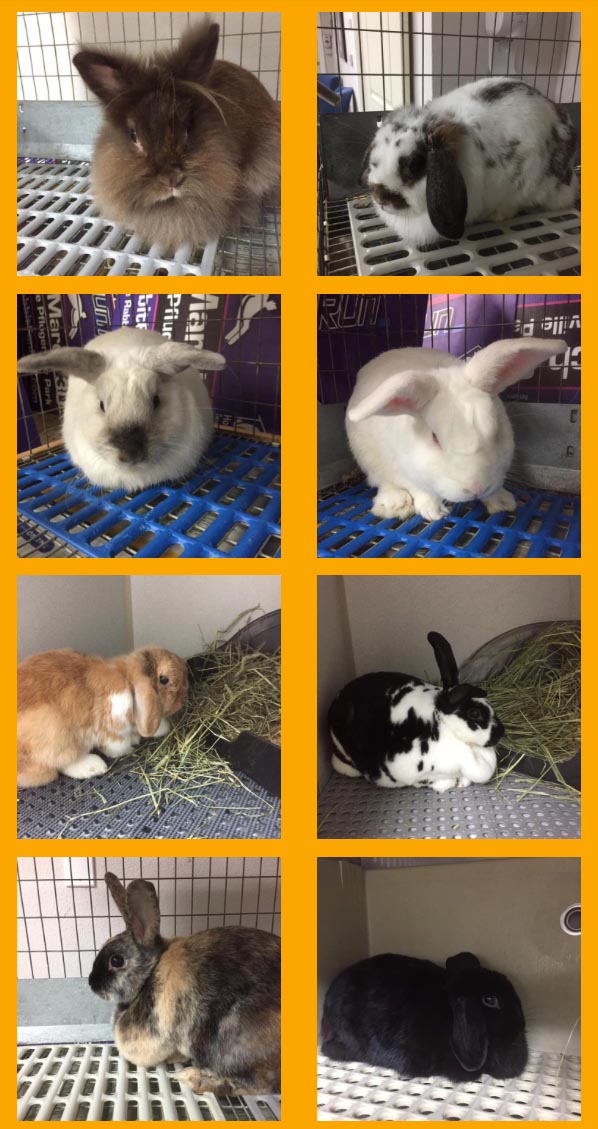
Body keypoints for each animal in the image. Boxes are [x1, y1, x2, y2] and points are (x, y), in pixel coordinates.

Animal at [17, 645, 188, 788]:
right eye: (164, 679)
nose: (181, 702)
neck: (127, 680)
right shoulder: (112, 727)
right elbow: (116, 746)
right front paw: (129, 748)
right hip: (56, 736)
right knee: (60, 765)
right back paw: (94, 766)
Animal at [89, 872, 281, 1096]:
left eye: (117, 961)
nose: (91, 983)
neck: (150, 974)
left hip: (231, 1043)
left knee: (258, 1083)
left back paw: (196, 1078)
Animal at [328, 631, 503, 792]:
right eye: (475, 713)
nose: (501, 733)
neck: (444, 726)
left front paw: (461, 782)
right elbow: (435, 781)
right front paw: (451, 783)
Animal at [346, 336, 567, 523]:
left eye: (496, 431)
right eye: (434, 437)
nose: (477, 487)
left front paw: (503, 503)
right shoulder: (405, 471)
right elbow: (421, 489)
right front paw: (434, 512)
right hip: (368, 459)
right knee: (382, 481)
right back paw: (395, 504)